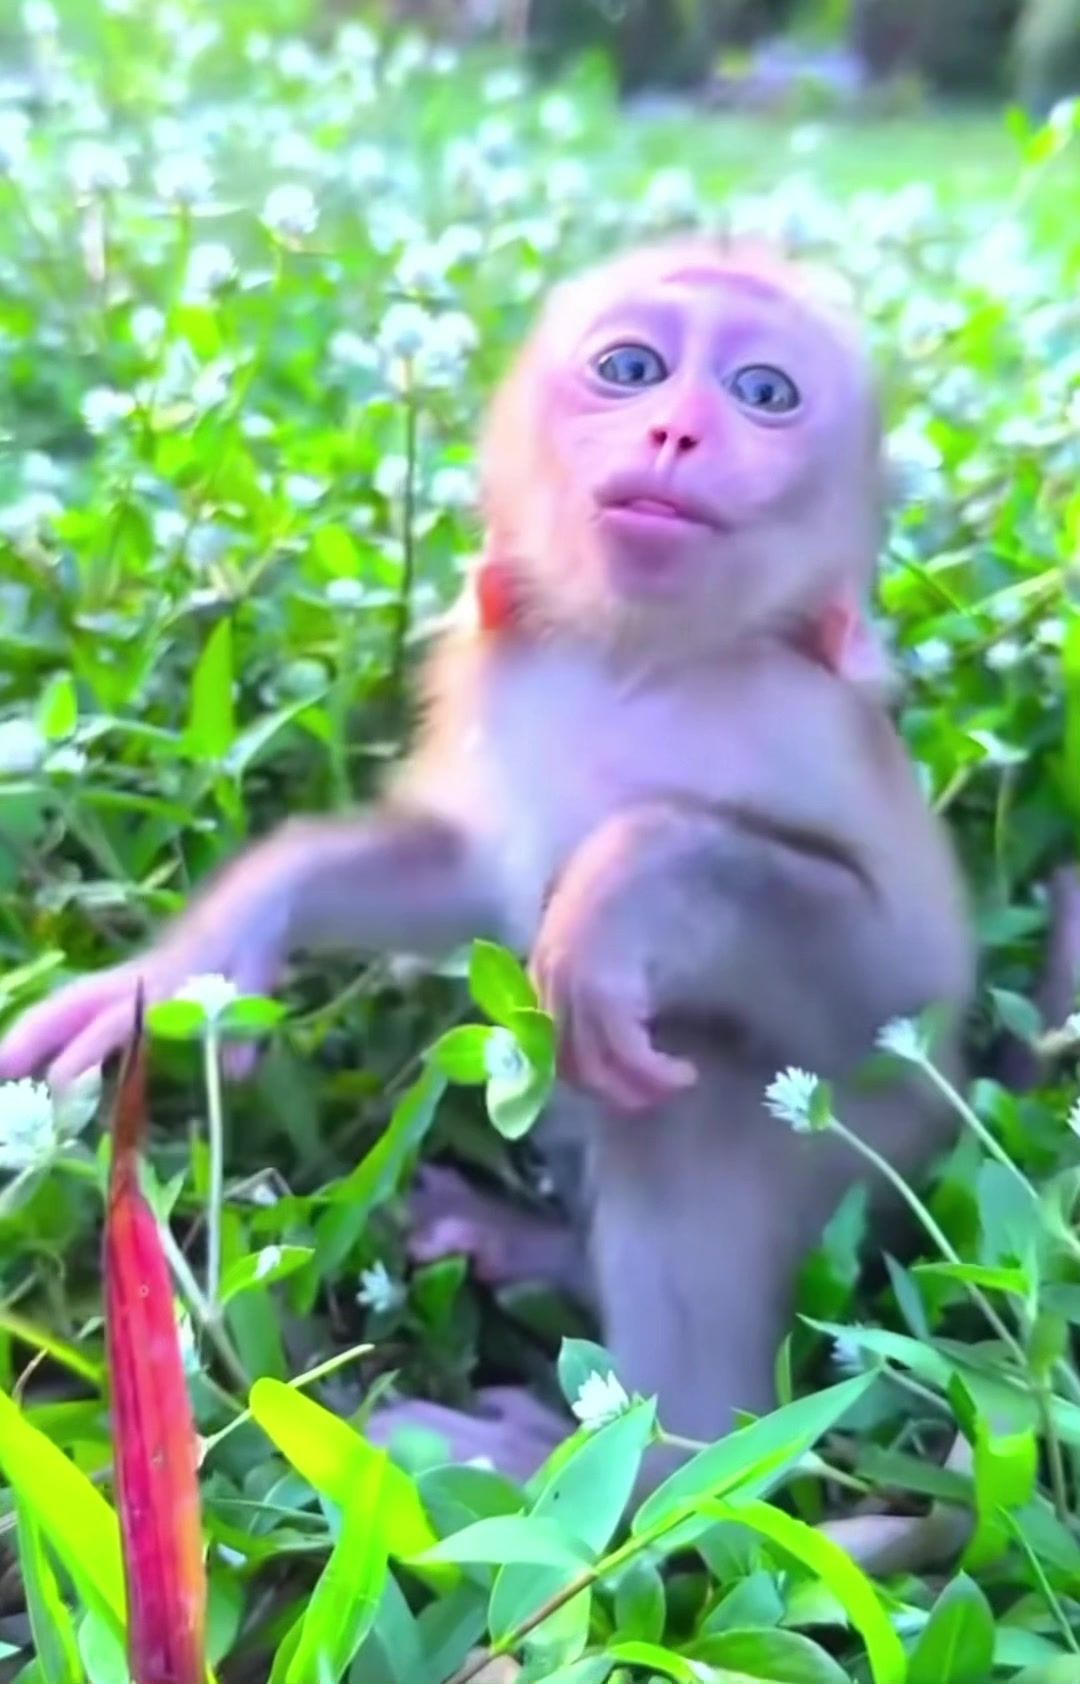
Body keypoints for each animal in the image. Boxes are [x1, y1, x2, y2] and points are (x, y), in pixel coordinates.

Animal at [0, 235, 979, 1505]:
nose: (676, 431)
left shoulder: (805, 728)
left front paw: (620, 892)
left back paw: (588, 1468)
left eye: (766, 392)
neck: (639, 665)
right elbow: (464, 879)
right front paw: (193, 964)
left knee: (696, 1116)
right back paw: (538, 1254)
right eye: (630, 367)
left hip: (877, 1153)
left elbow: (886, 994)